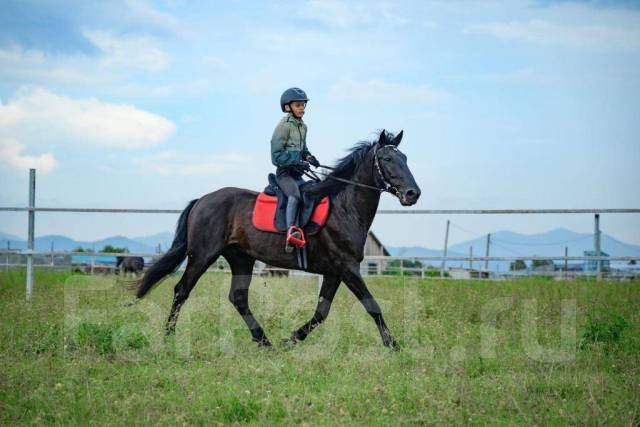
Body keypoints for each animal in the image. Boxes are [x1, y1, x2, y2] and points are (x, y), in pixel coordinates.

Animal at [135, 131, 420, 352]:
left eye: (405, 158)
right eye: (387, 159)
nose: (412, 193)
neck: (344, 208)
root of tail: (202, 199)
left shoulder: (335, 272)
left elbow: (321, 313)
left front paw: (290, 339)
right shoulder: (347, 268)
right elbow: (372, 306)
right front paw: (393, 345)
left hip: (241, 258)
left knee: (238, 298)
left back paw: (265, 342)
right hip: (202, 255)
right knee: (181, 291)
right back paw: (169, 338)